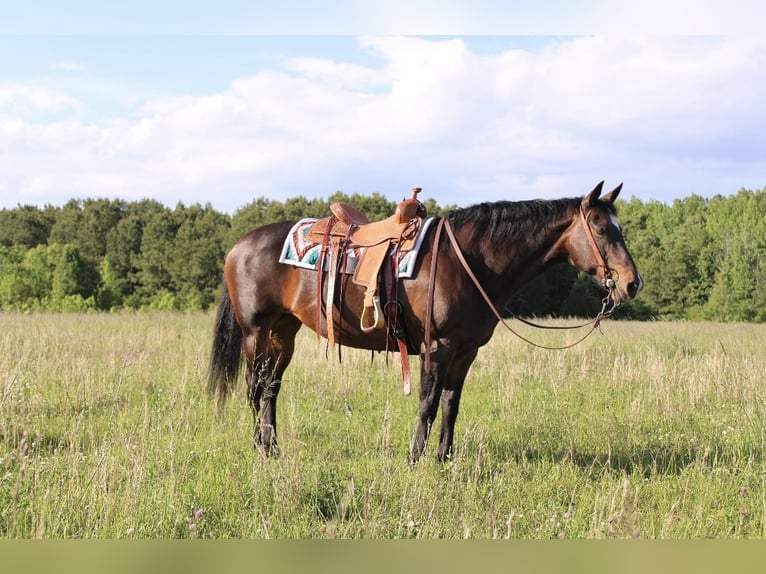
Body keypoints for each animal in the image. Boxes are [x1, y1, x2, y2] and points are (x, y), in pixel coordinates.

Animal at [208, 182, 640, 466]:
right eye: (602, 228)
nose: (632, 283)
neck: (469, 260)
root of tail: (239, 244)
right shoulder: (439, 347)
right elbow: (428, 404)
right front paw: (416, 459)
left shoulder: (465, 352)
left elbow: (450, 405)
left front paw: (445, 459)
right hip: (256, 333)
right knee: (255, 387)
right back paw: (261, 451)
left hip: (284, 332)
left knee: (270, 389)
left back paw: (274, 449)